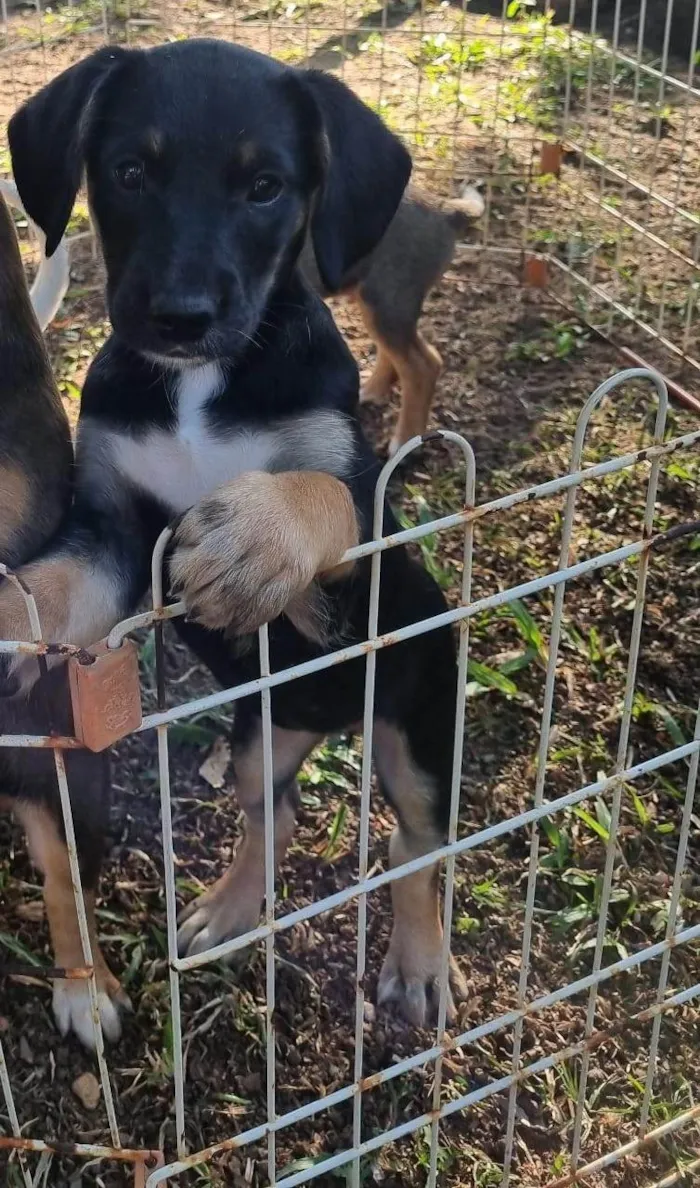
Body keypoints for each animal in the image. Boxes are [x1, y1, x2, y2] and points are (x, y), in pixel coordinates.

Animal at [4, 41, 463, 1031]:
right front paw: (2, 616)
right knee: (274, 815)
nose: (179, 318)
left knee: (417, 845)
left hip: (416, 720)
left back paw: (417, 967)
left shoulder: (362, 527)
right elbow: (52, 584)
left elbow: (319, 492)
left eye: (265, 188)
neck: (199, 386)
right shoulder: (111, 535)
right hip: (260, 737)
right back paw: (227, 909)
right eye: (129, 173)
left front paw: (254, 538)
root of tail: (327, 723)